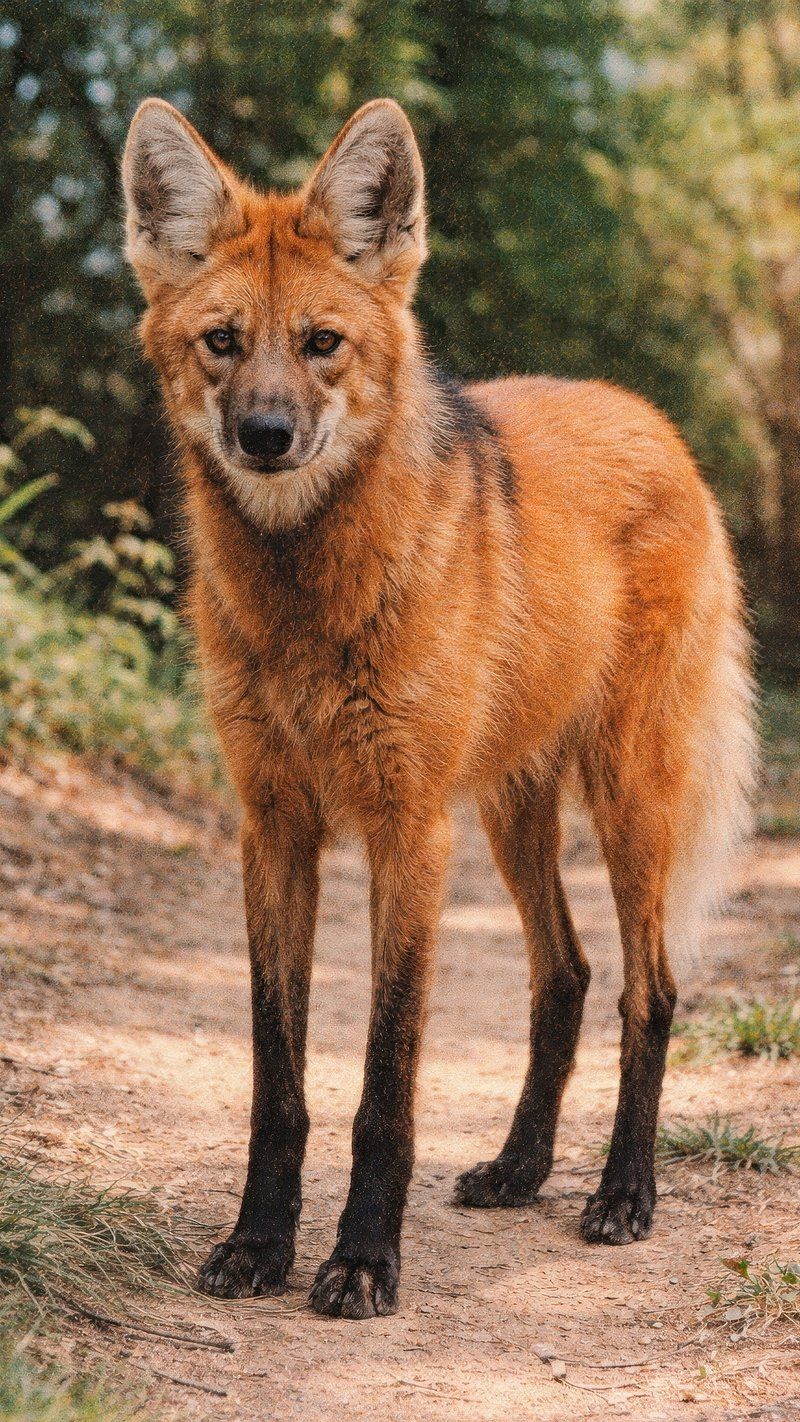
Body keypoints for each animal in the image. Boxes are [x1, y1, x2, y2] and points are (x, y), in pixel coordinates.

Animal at [121, 96, 756, 1319]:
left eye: (321, 343)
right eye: (222, 342)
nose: (265, 435)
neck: (306, 604)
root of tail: (650, 417)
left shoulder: (403, 829)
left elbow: (383, 1087)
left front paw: (363, 1259)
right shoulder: (275, 826)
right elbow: (278, 1080)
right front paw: (258, 1244)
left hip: (626, 803)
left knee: (648, 990)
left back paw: (622, 1193)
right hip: (512, 812)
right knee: (566, 974)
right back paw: (519, 1167)